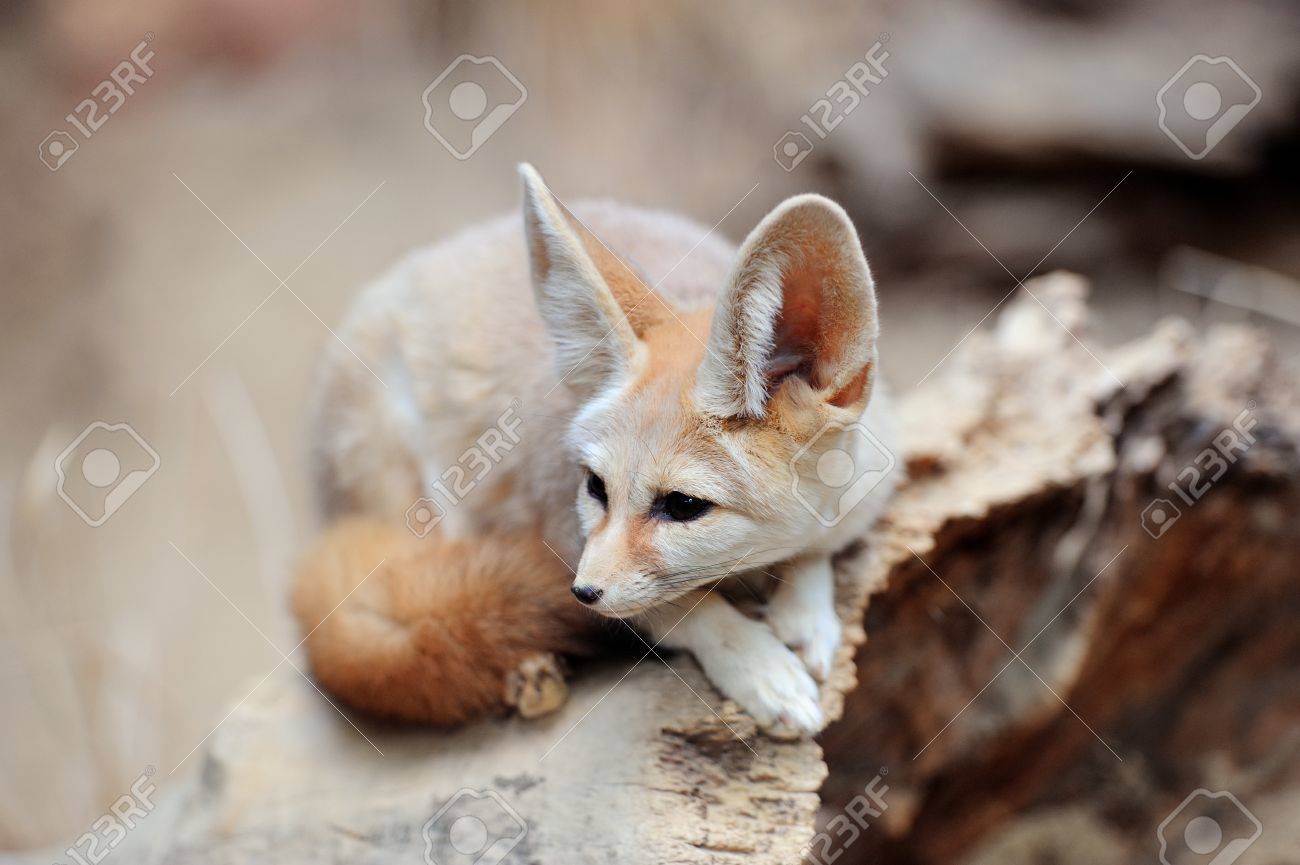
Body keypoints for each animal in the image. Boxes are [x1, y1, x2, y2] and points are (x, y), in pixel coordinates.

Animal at [292, 164, 900, 735]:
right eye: (595, 487)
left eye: (683, 506)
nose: (582, 592)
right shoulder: (564, 533)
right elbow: (685, 608)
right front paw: (757, 664)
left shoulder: (867, 491)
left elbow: (815, 550)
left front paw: (805, 617)